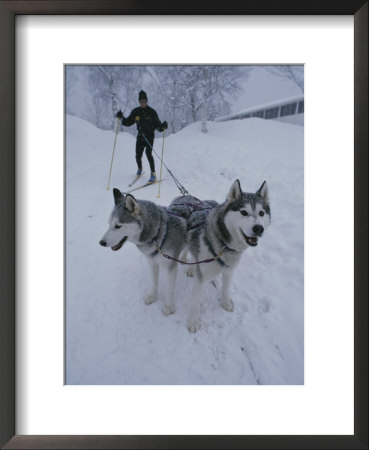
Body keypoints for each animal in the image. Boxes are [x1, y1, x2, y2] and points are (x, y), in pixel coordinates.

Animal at [172, 180, 270, 334]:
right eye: (243, 212)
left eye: (261, 213)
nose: (259, 228)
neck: (225, 245)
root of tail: (184, 196)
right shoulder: (201, 279)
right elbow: (195, 302)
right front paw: (193, 322)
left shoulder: (229, 271)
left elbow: (226, 290)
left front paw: (225, 303)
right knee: (187, 249)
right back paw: (184, 259)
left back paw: (191, 269)